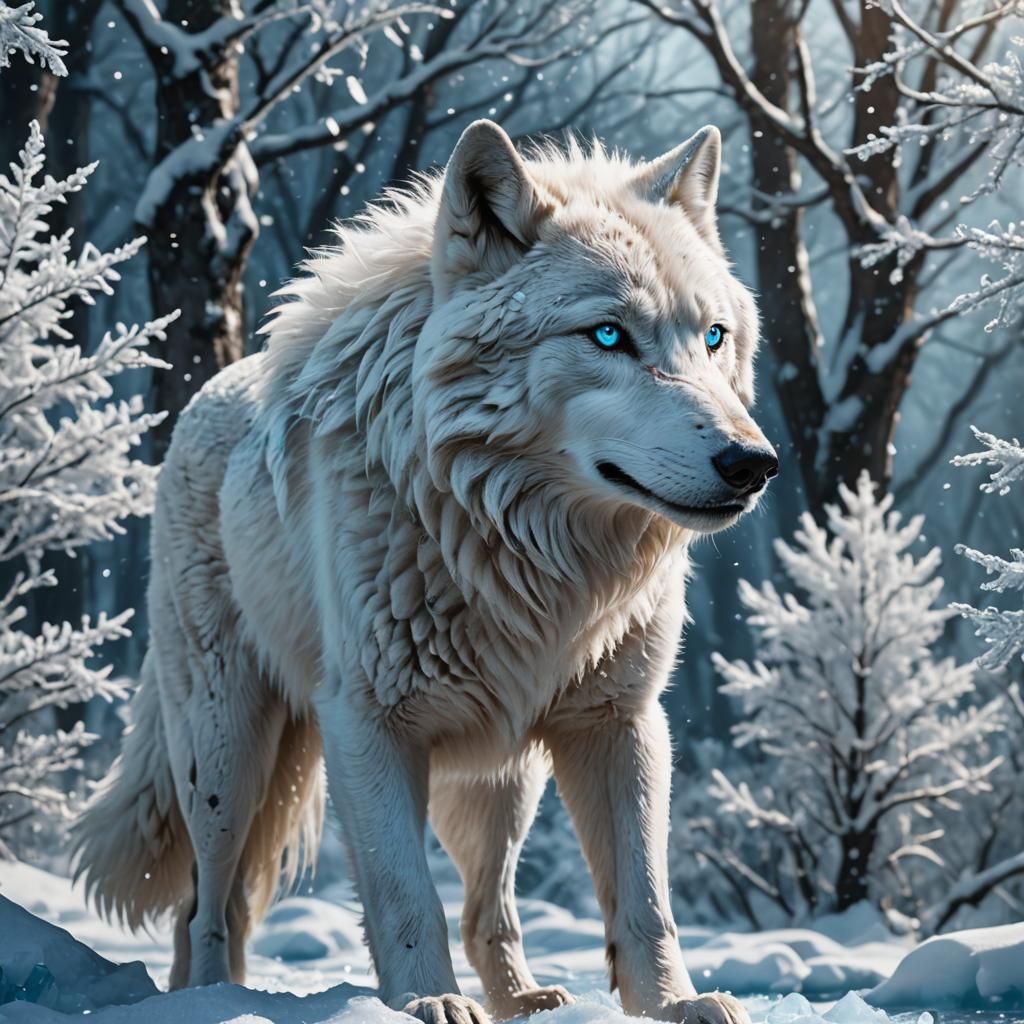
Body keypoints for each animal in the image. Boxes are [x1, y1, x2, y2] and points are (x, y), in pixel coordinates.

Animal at [74, 120, 777, 1024]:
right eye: (608, 335)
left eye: (714, 337)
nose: (753, 464)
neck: (525, 546)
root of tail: (205, 395)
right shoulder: (367, 724)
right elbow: (404, 895)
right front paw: (429, 1003)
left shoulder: (620, 722)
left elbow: (645, 900)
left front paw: (674, 1005)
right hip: (226, 755)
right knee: (207, 902)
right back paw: (207, 997)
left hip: (501, 778)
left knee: (490, 909)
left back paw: (524, 1000)